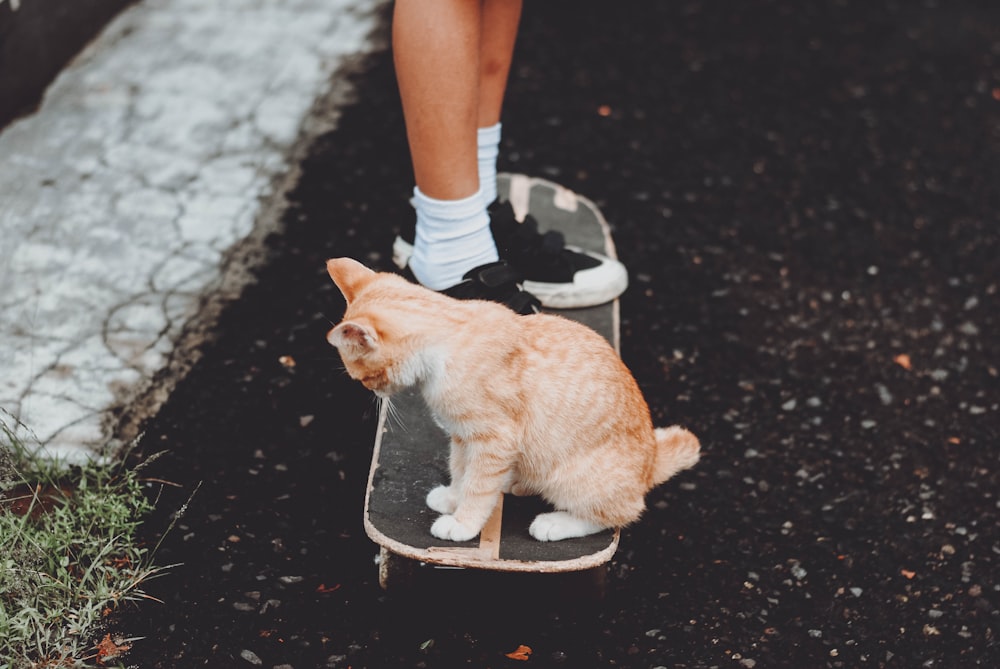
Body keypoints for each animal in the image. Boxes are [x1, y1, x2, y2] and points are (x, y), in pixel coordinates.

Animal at [324, 258, 700, 544]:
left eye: (363, 378)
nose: (373, 394)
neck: (447, 340)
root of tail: (652, 460)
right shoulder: (463, 437)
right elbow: (461, 471)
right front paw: (453, 497)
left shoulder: (494, 439)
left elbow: (477, 486)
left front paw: (463, 522)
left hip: (571, 479)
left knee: (621, 513)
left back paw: (557, 522)